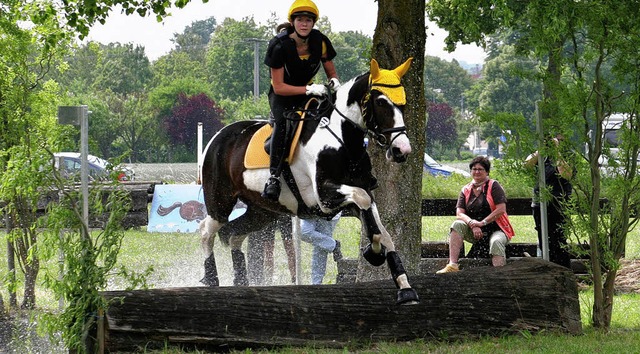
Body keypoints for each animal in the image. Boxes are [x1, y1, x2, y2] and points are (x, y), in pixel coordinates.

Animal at [200, 57, 420, 304]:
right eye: (381, 102)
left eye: (403, 103)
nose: (402, 150)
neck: (342, 140)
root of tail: (218, 136)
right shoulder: (325, 197)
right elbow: (363, 202)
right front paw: (373, 253)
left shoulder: (353, 197)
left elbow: (382, 232)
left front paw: (404, 287)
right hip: (220, 202)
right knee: (206, 232)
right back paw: (212, 280)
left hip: (262, 211)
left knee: (235, 235)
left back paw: (242, 283)